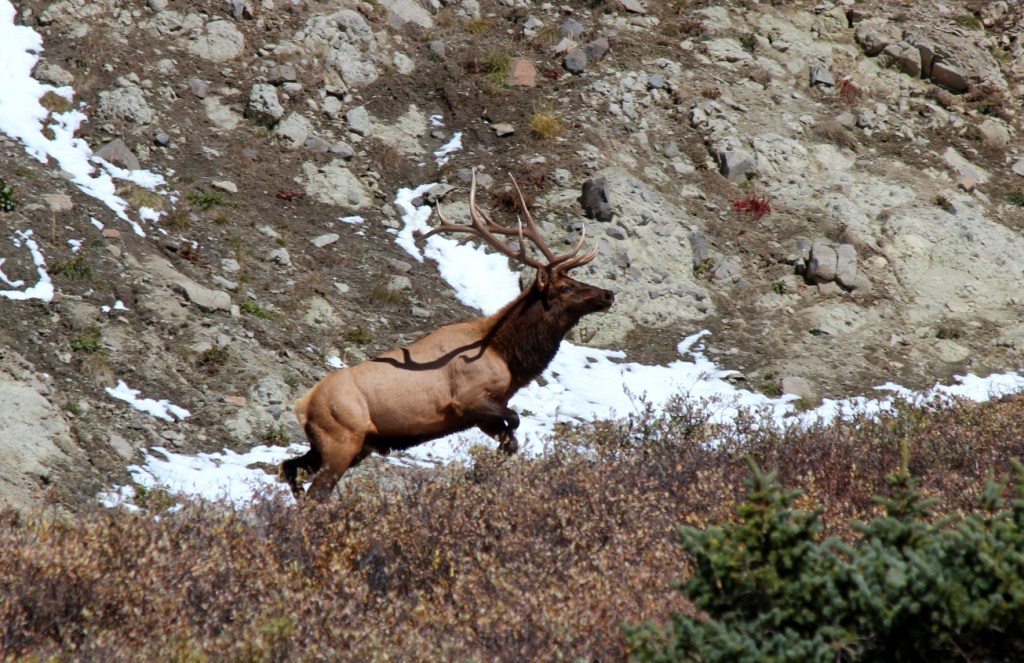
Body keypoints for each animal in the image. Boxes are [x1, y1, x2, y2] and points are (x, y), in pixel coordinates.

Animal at [279, 175, 614, 502]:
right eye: (565, 287)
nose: (608, 294)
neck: (509, 358)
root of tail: (303, 405)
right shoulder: (468, 400)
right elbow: (515, 420)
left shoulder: (482, 415)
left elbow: (511, 438)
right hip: (342, 439)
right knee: (316, 492)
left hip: (343, 446)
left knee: (288, 466)